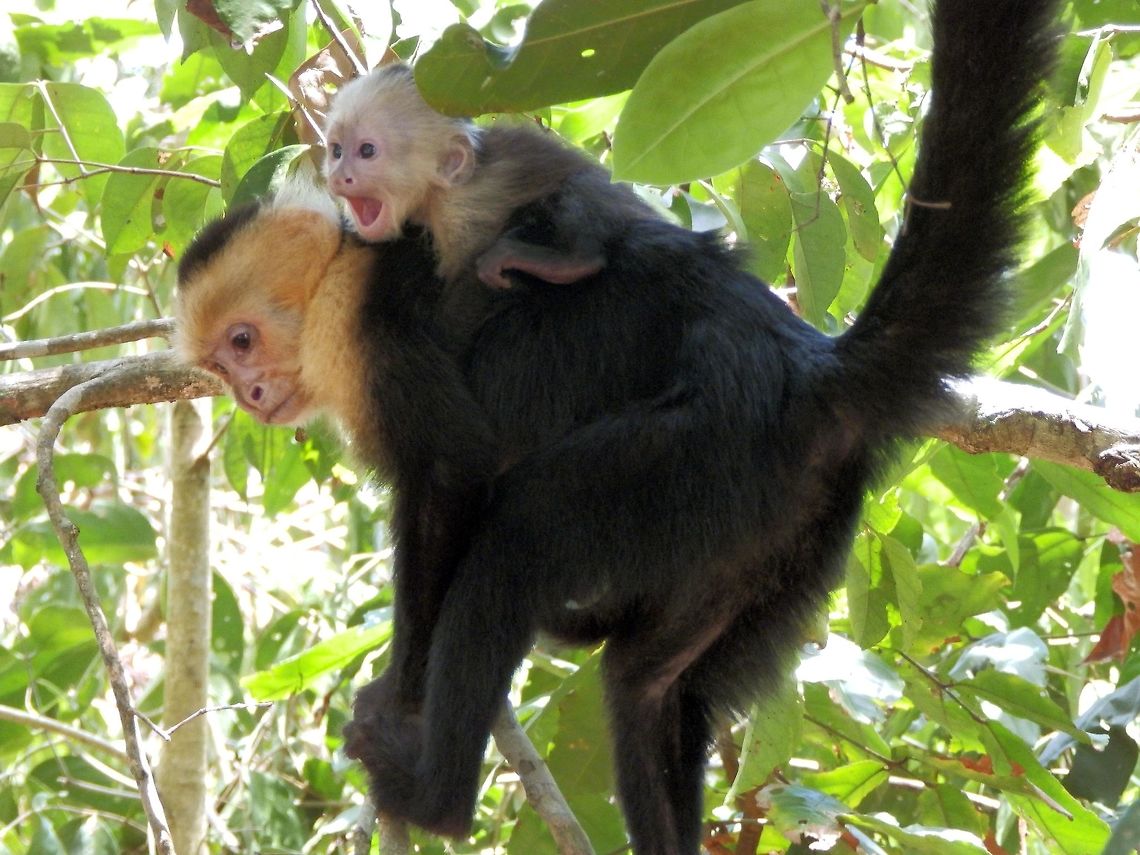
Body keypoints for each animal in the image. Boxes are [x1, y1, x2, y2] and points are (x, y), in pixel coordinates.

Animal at [323, 62, 657, 290]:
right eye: (336, 152)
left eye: (367, 151)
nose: (339, 178)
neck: (435, 195)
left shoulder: (462, 213)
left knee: (583, 188)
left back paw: (574, 262)